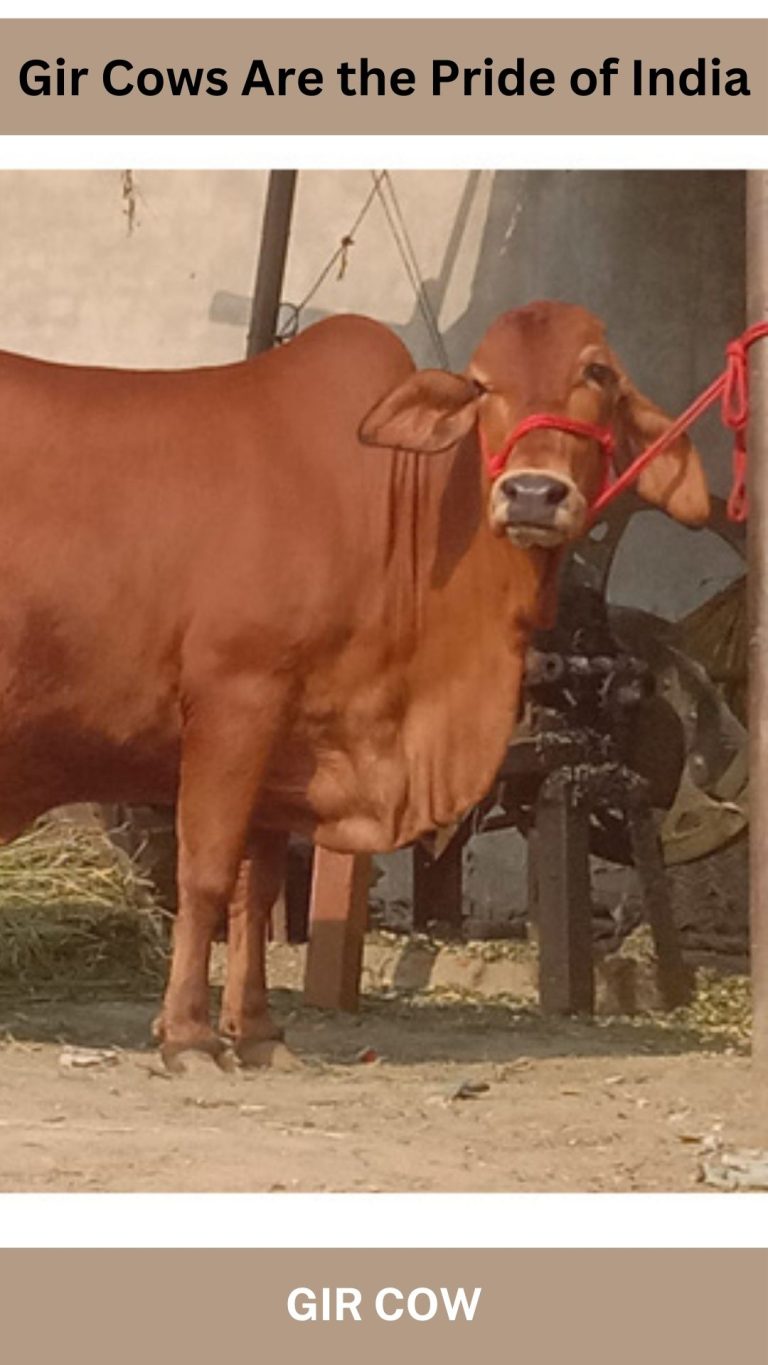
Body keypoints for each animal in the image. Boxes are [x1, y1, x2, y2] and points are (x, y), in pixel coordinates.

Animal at [0, 301, 709, 1067]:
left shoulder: (285, 739)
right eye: (481, 384)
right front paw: (188, 1034)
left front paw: (257, 1029)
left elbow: (259, 889)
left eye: (597, 372)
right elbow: (208, 874)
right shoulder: (236, 699)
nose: (531, 493)